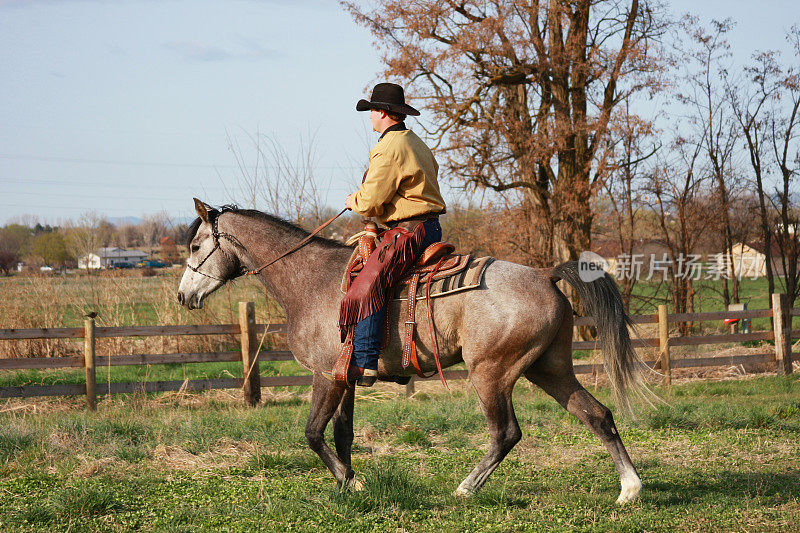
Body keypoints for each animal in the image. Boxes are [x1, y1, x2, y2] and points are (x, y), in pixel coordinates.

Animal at [180, 200, 644, 502]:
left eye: (196, 246)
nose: (184, 296)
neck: (311, 280)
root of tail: (545, 274)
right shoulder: (346, 379)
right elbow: (342, 434)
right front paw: (345, 485)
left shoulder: (325, 375)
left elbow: (313, 433)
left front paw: (352, 482)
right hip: (550, 369)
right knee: (597, 415)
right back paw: (630, 489)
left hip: (492, 373)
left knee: (506, 432)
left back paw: (465, 488)